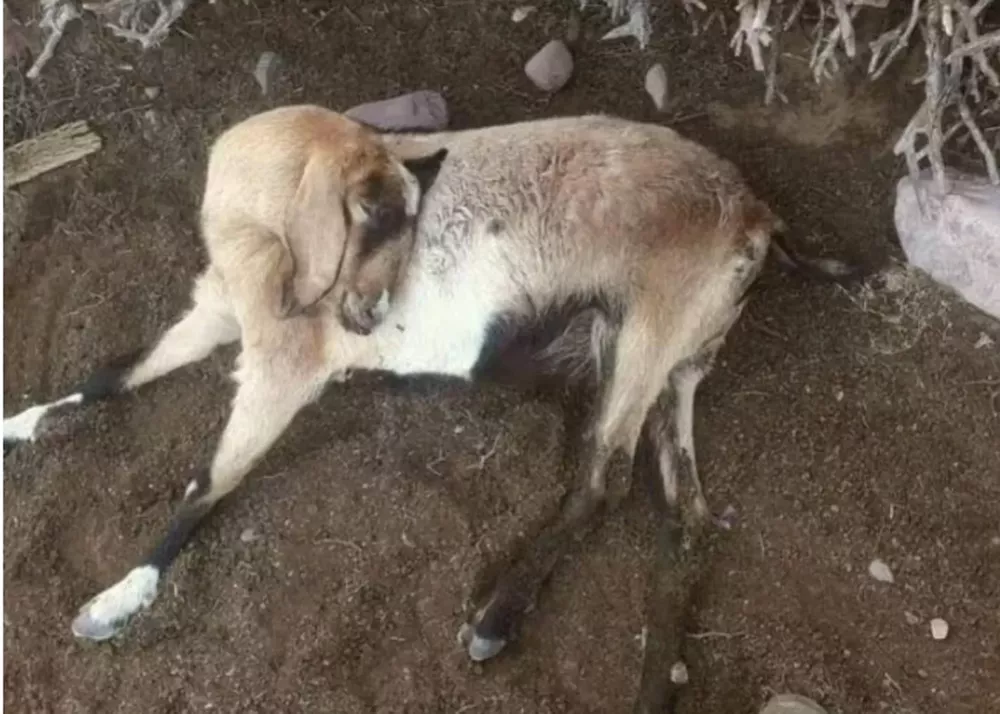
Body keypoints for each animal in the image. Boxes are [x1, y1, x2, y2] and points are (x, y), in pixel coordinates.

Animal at [2, 105, 852, 702]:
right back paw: (652, 686)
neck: (260, 231)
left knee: (603, 480)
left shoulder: (283, 363)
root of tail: (756, 213)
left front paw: (115, 602)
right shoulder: (216, 312)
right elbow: (111, 375)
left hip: (650, 326)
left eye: (405, 219)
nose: (371, 314)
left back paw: (494, 621)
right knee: (686, 520)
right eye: (370, 215)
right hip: (676, 357)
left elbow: (208, 483)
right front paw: (17, 425)